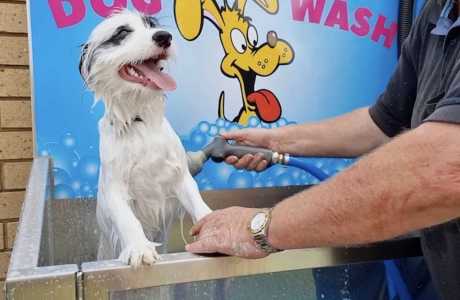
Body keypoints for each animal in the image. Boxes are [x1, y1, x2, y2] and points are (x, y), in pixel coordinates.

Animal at [80, 9, 212, 268]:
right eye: (122, 32)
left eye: (152, 25)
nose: (164, 37)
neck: (140, 121)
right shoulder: (115, 188)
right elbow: (127, 219)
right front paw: (139, 247)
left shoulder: (181, 177)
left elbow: (198, 202)